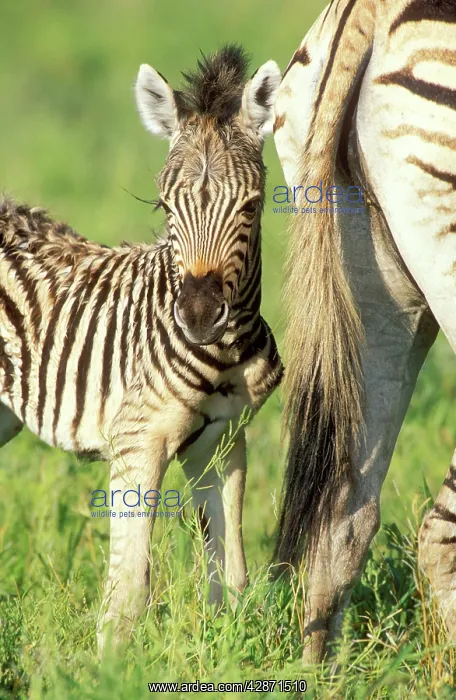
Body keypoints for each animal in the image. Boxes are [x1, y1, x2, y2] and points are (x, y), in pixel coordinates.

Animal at [0, 45, 283, 654]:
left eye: (250, 208)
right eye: (166, 208)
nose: (198, 316)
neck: (223, 356)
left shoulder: (224, 444)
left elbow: (230, 575)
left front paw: (227, 654)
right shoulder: (137, 440)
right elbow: (129, 587)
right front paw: (108, 666)